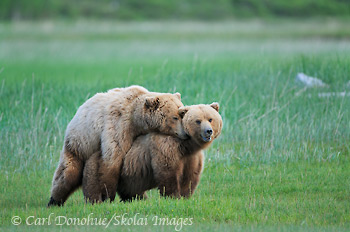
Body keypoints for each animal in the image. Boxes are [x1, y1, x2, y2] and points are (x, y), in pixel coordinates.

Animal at [48, 85, 189, 207]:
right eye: (175, 117)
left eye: (182, 113)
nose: (185, 133)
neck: (136, 119)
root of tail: (78, 112)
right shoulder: (119, 124)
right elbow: (112, 160)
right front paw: (107, 196)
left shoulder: (140, 133)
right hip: (79, 143)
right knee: (68, 172)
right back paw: (54, 201)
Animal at [82, 102, 221, 202]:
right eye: (198, 121)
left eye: (210, 119)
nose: (208, 131)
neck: (186, 146)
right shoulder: (166, 147)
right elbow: (167, 171)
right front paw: (173, 196)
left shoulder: (192, 157)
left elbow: (191, 176)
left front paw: (185, 196)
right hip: (100, 166)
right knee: (97, 186)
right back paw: (99, 201)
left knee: (130, 190)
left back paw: (139, 199)